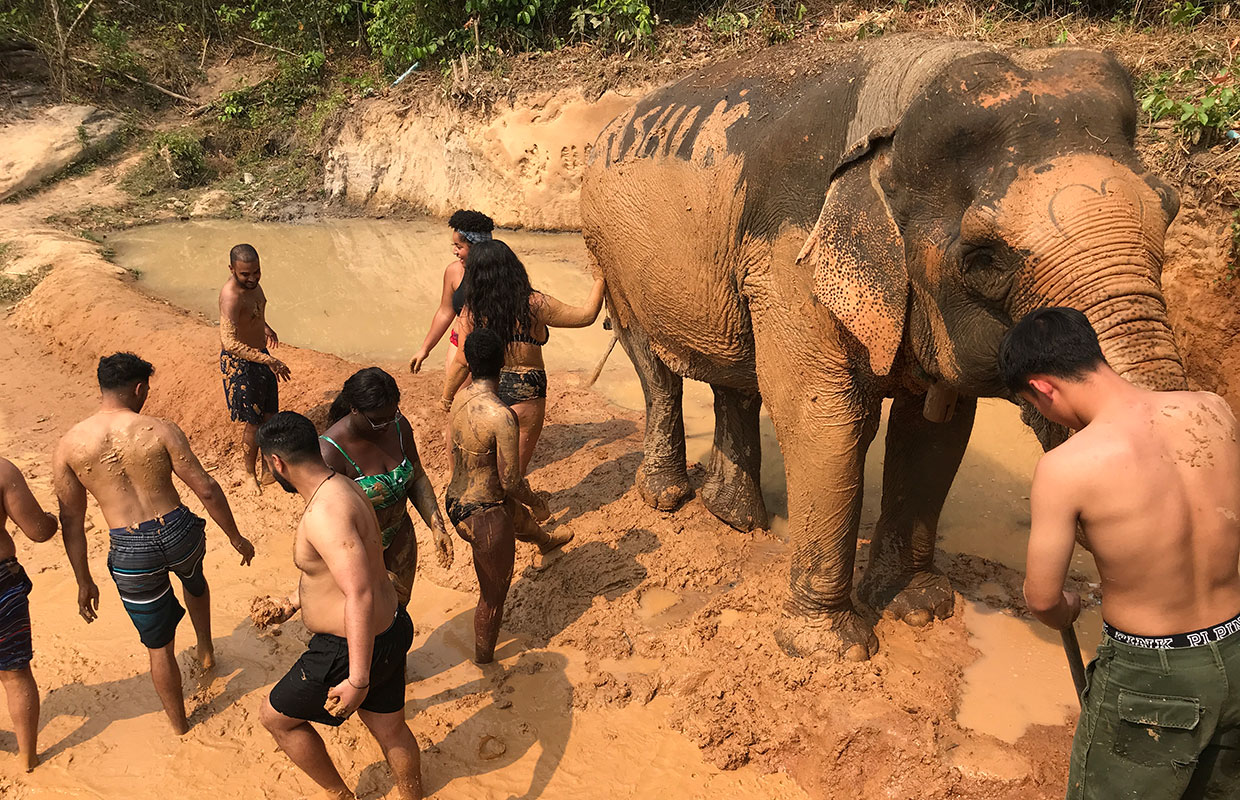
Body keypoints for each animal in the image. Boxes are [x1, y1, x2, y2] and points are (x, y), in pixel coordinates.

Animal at [580, 34, 1190, 659]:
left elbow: (935, 433)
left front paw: (919, 609)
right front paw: (833, 650)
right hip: (609, 251)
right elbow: (825, 420)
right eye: (986, 259)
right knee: (653, 367)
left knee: (737, 379)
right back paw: (667, 498)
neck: (900, 110)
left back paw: (735, 519)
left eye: (1170, 211)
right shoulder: (789, 260)